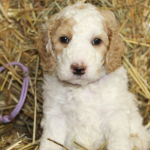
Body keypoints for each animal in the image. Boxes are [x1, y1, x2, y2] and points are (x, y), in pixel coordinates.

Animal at [37, 2, 150, 150]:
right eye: (64, 39)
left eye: (97, 41)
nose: (78, 68)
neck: (82, 88)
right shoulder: (55, 116)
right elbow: (50, 142)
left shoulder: (115, 115)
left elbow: (118, 142)